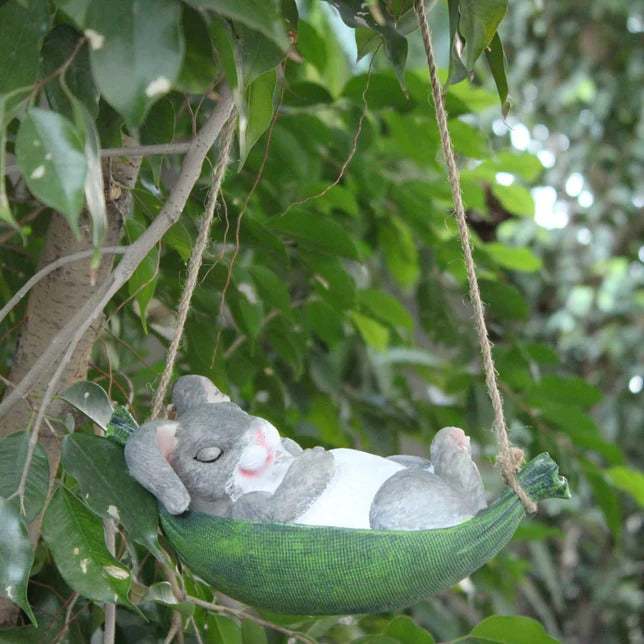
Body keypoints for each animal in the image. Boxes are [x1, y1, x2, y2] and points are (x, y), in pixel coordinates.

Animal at [126, 374, 486, 532]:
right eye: (210, 455)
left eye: (238, 411)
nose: (261, 432)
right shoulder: (245, 511)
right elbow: (277, 508)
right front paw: (317, 459)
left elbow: (291, 449)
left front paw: (301, 451)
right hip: (397, 504)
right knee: (460, 493)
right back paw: (452, 443)